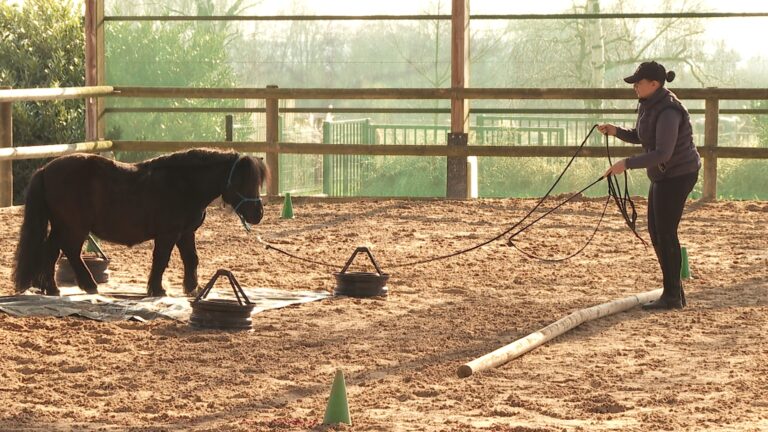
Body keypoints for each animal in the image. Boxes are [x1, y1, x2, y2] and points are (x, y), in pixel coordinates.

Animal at [13, 148, 268, 297]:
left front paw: (192, 288)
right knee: (69, 252)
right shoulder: (168, 234)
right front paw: (157, 289)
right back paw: (86, 285)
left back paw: (52, 288)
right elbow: (161, 260)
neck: (184, 183)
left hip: (62, 226)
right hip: (74, 228)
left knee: (52, 251)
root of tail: (45, 169)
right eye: (243, 181)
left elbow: (191, 259)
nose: (258, 214)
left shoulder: (186, 233)